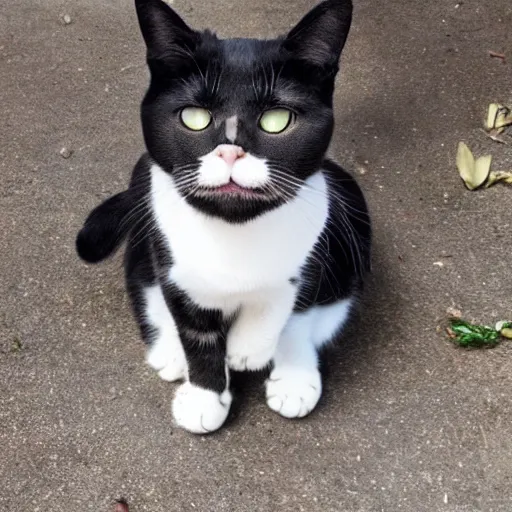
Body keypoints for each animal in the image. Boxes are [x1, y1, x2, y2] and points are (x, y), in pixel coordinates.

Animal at [76, 0, 370, 434]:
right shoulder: (174, 267)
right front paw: (205, 397)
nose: (231, 151)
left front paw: (248, 348)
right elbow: (195, 333)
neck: (234, 231)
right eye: (194, 117)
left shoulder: (312, 249)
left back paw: (293, 376)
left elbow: (285, 301)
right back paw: (170, 354)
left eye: (276, 120)